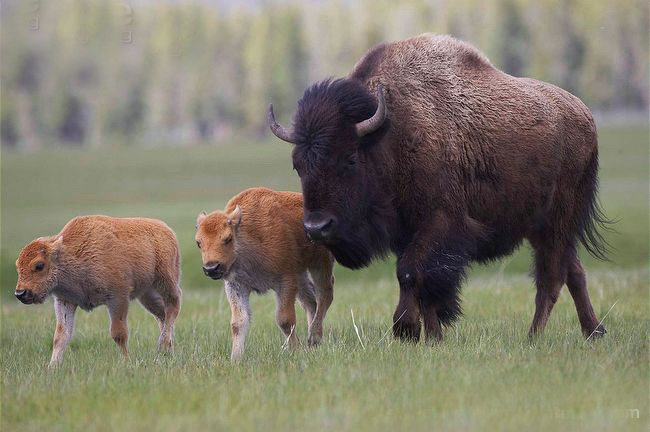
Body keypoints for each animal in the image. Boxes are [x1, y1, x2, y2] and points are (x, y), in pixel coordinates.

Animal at [268, 34, 610, 342]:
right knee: (574, 271)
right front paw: (432, 336)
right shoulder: (407, 232)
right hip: (542, 228)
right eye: (297, 164)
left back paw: (534, 337)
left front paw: (406, 329)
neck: (389, 133)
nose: (316, 227)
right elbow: (421, 285)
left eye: (349, 159)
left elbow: (411, 274)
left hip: (556, 223)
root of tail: (585, 115)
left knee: (551, 278)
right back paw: (593, 331)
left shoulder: (439, 224)